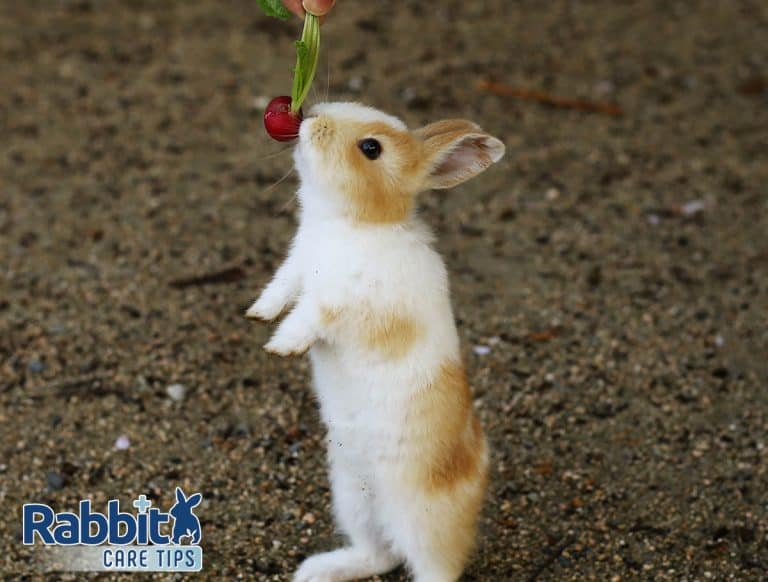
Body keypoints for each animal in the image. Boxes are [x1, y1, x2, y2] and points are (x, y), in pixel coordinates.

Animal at [247, 102, 504, 582]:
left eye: (371, 148)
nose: (311, 118)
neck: (354, 223)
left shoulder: (344, 301)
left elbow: (310, 315)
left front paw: (282, 345)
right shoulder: (296, 268)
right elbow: (280, 290)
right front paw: (259, 314)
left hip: (423, 521)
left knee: (435, 567)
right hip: (352, 498)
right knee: (380, 554)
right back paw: (317, 570)